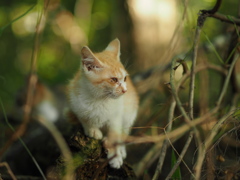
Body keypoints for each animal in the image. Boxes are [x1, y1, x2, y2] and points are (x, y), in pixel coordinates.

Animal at [67, 38, 139, 169]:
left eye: (125, 79)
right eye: (114, 80)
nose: (125, 90)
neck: (99, 99)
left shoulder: (117, 116)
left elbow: (114, 134)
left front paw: (115, 156)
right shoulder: (75, 102)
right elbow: (84, 118)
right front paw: (92, 130)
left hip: (130, 113)